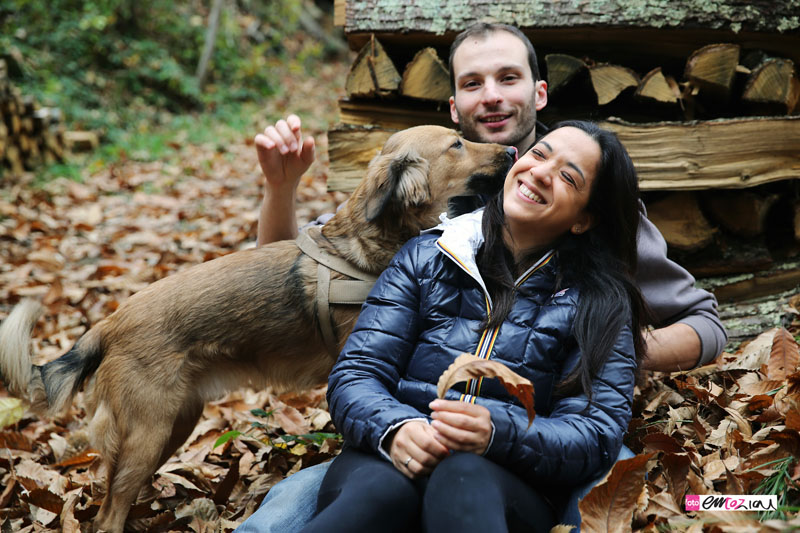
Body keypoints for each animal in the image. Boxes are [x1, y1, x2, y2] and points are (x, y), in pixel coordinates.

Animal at [0, 125, 512, 532]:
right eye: (457, 144)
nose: (510, 150)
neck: (364, 249)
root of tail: (107, 324)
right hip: (148, 434)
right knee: (108, 515)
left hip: (171, 428)